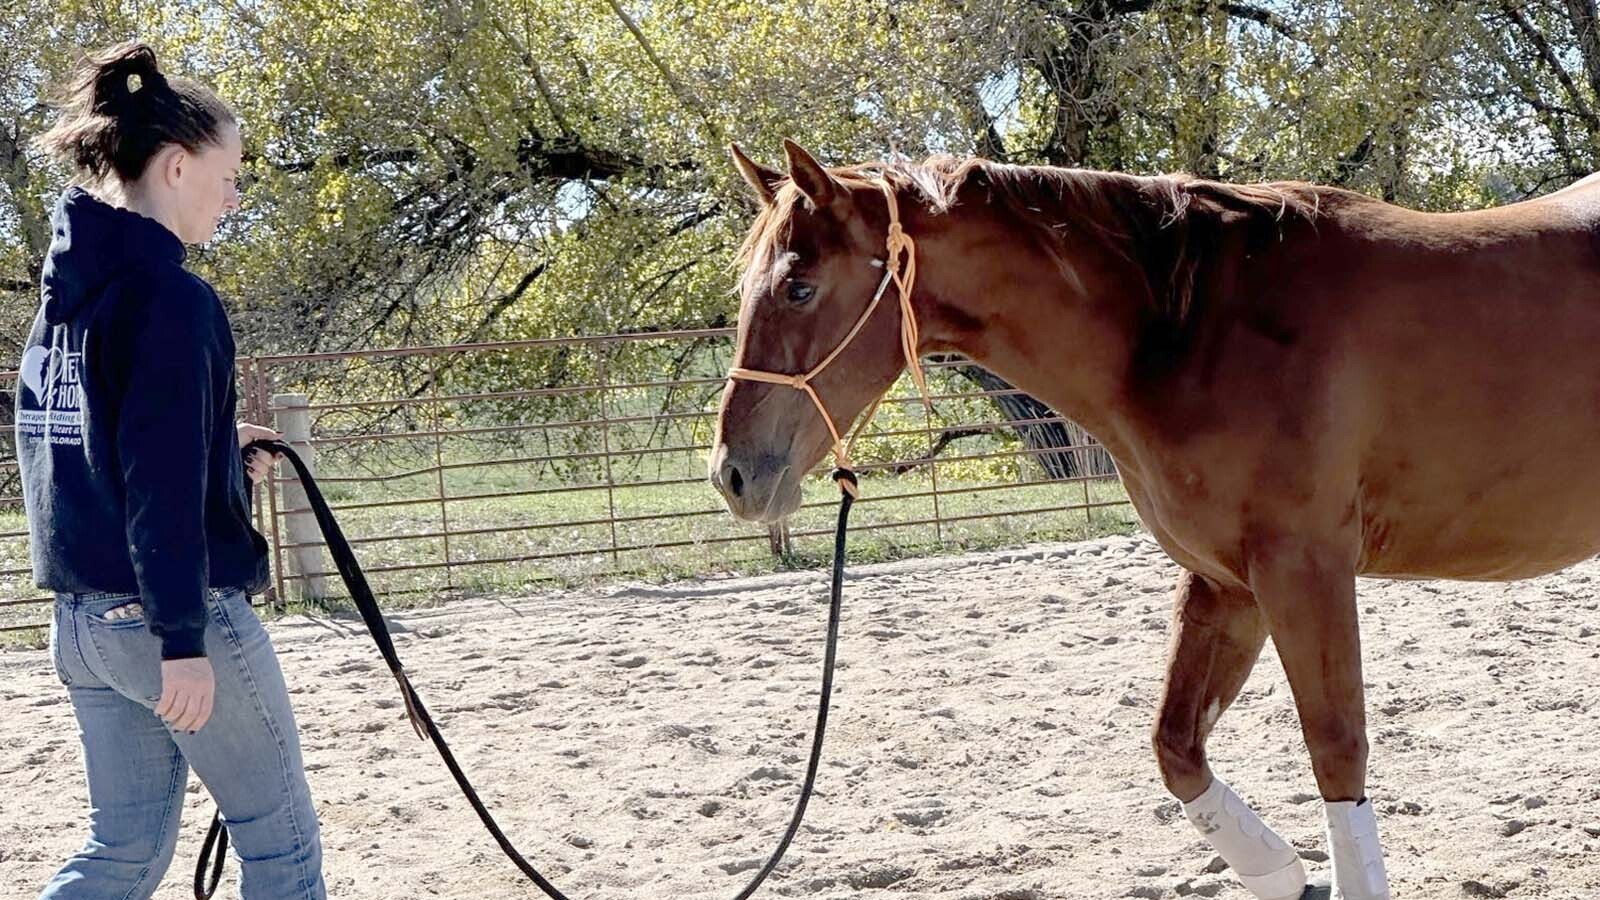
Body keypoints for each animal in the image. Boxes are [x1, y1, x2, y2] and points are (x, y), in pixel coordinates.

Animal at [707, 139, 1600, 900]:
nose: (735, 476)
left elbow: (1336, 747)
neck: (1189, 327)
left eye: (797, 287)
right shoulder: (1225, 583)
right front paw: (1281, 874)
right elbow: (1177, 747)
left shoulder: (1303, 571)